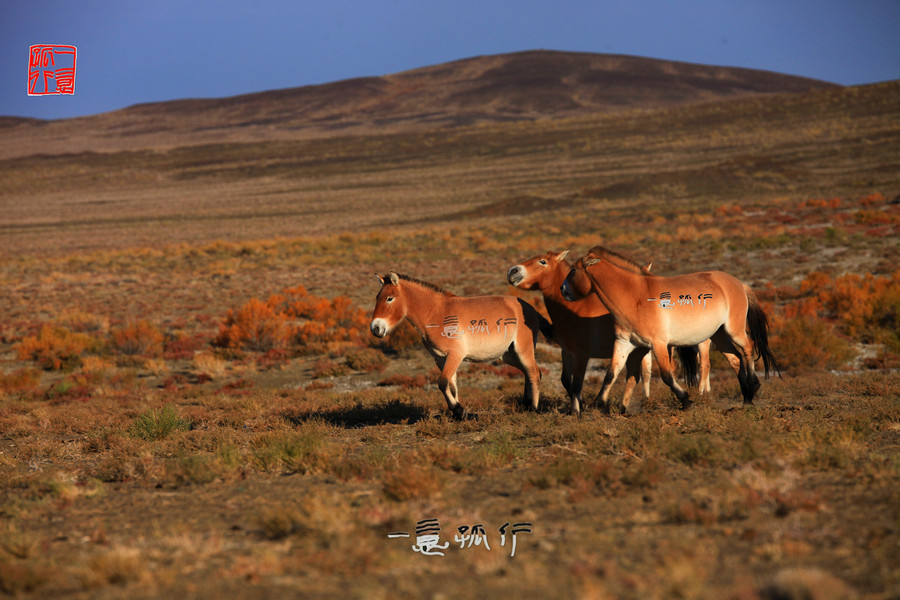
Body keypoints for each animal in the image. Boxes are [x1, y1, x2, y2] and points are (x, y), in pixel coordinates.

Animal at [368, 272, 548, 418]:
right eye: (377, 297)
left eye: (390, 298)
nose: (376, 329)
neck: (436, 313)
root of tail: (529, 307)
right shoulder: (441, 359)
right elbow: (451, 385)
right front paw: (458, 413)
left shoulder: (455, 355)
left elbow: (442, 382)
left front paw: (458, 410)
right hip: (508, 355)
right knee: (527, 372)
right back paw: (526, 404)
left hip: (523, 351)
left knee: (534, 373)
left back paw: (533, 408)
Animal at [506, 248, 712, 412]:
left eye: (542, 261)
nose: (512, 271)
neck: (575, 308)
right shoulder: (567, 352)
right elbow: (566, 381)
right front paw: (582, 405)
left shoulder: (582, 354)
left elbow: (577, 383)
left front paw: (578, 410)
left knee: (691, 366)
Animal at [564, 245, 780, 412]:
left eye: (573, 270)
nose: (563, 290)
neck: (635, 297)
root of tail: (739, 284)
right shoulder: (624, 343)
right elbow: (611, 373)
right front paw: (598, 404)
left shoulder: (658, 344)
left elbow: (667, 376)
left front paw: (686, 401)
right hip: (719, 335)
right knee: (735, 360)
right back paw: (747, 398)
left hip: (733, 330)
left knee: (748, 349)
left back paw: (753, 385)